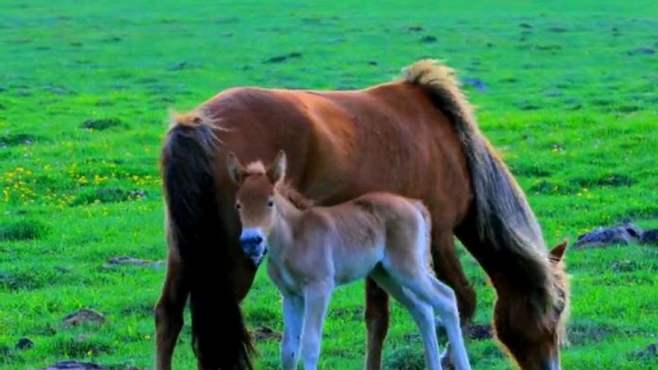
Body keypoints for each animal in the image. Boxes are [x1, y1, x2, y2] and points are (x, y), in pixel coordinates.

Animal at [228, 150, 468, 370]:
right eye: (238, 205)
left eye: (270, 203)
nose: (251, 241)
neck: (293, 238)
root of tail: (415, 204)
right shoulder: (291, 295)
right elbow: (288, 351)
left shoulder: (319, 288)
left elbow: (310, 345)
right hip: (387, 274)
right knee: (422, 310)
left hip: (407, 268)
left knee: (446, 298)